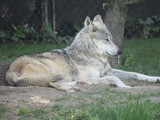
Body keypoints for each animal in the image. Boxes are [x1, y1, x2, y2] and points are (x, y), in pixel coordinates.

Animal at [5, 15, 160, 92]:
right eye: (106, 39)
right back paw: (79, 85)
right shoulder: (99, 75)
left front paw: (154, 78)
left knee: (55, 83)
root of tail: (9, 72)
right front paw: (125, 87)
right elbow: (115, 78)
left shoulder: (106, 72)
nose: (120, 51)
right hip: (51, 70)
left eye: (111, 38)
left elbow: (136, 73)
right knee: (53, 83)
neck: (92, 56)